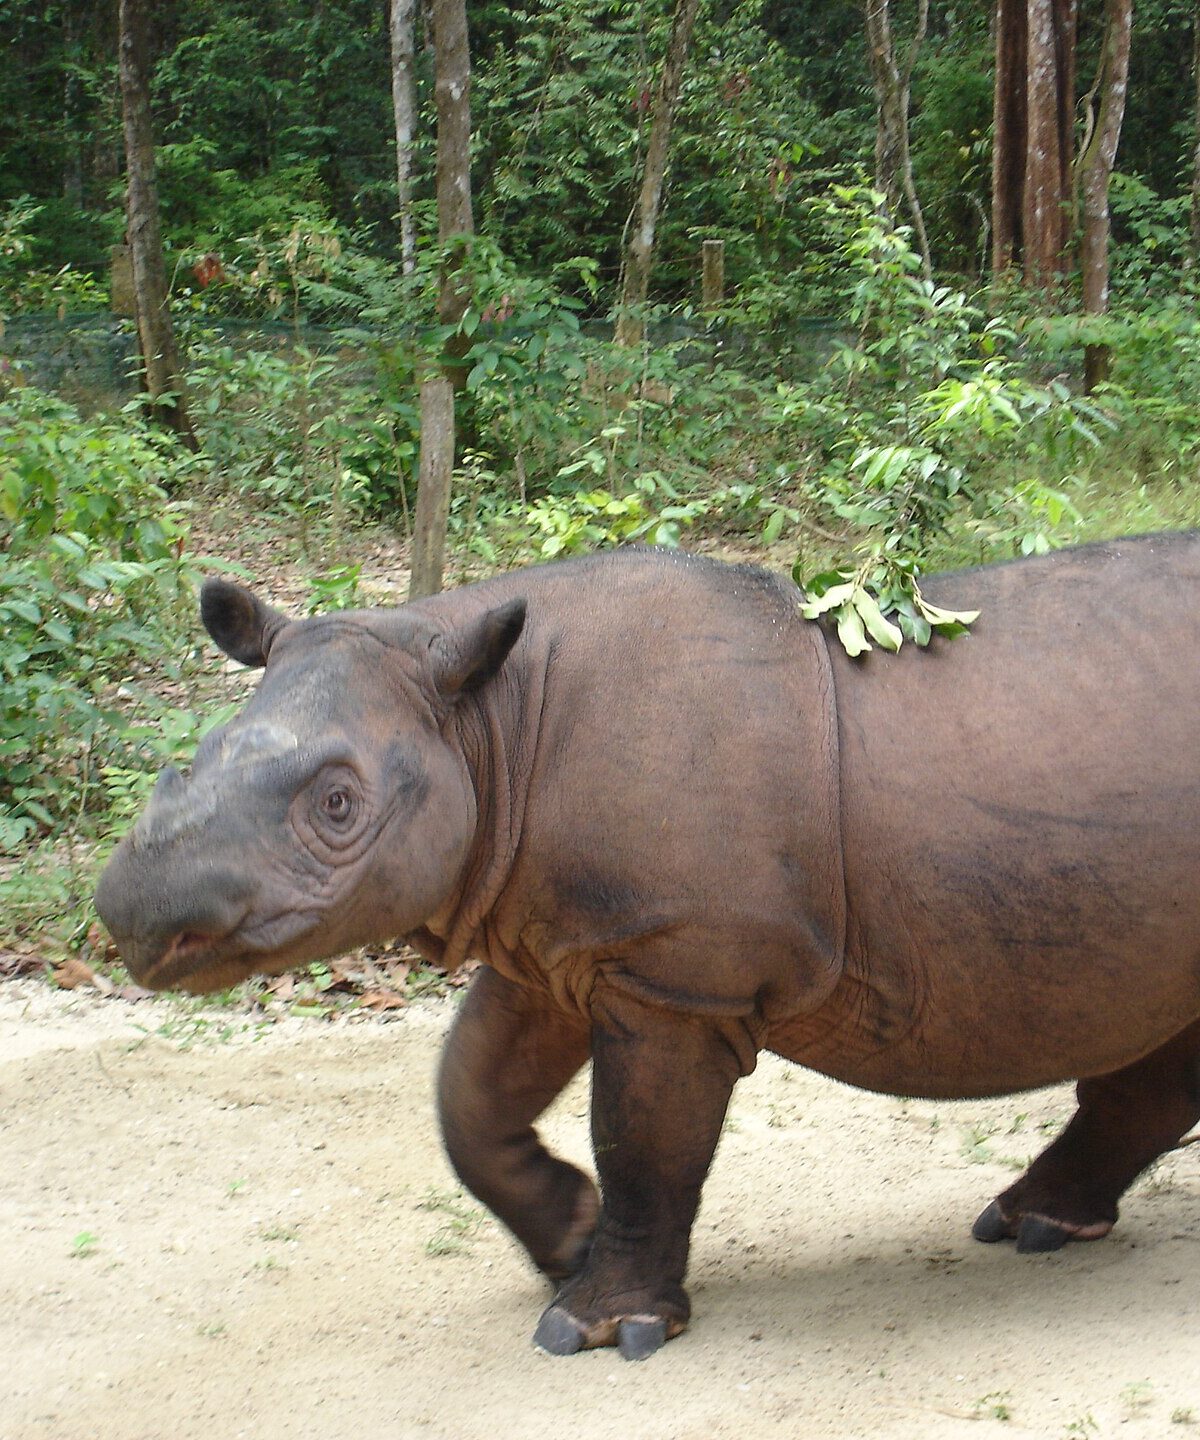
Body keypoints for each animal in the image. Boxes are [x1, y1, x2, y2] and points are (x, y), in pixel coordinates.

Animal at [95, 533, 1200, 1360]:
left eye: (336, 804)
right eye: (192, 760)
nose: (133, 911)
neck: (486, 724)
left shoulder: (677, 972)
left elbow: (641, 1139)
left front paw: (594, 1329)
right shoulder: (555, 942)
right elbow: (469, 1096)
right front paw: (567, 1240)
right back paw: (1037, 1226)